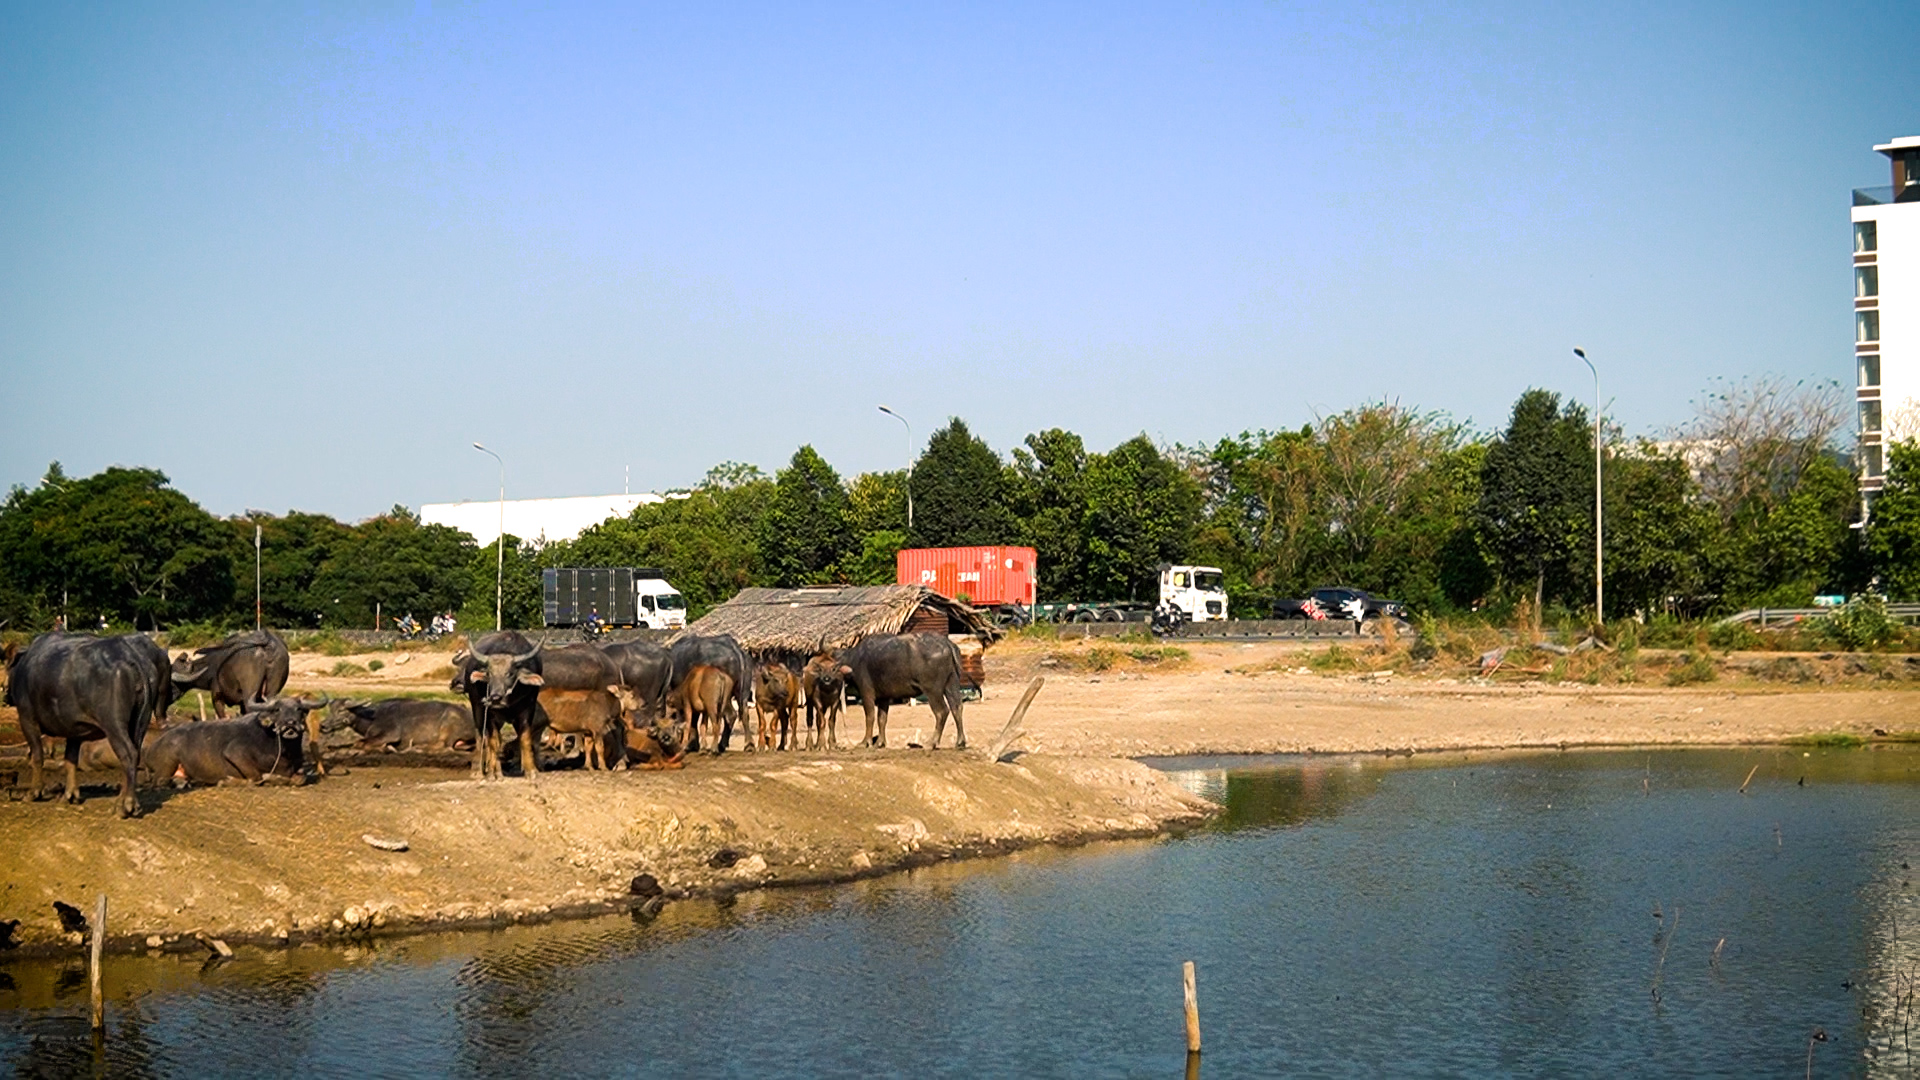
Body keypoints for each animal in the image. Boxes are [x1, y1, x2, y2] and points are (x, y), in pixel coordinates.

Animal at [5, 626, 173, 810]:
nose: (5, 696)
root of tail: (132, 659)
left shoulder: (27, 718)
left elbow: (36, 756)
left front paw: (33, 793)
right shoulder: (74, 729)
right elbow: (70, 759)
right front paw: (70, 795)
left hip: (113, 723)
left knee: (128, 753)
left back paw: (126, 804)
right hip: (141, 721)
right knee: (134, 753)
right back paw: (122, 800)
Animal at [144, 691, 326, 787]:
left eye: (299, 709)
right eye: (277, 710)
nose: (290, 724)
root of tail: (151, 749)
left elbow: (300, 778)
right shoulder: (234, 753)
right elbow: (256, 777)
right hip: (168, 763)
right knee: (159, 781)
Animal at [837, 630, 967, 749]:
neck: (853, 660)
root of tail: (946, 643)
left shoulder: (866, 693)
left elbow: (870, 716)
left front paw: (865, 742)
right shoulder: (884, 697)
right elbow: (882, 718)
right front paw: (880, 743)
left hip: (932, 690)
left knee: (942, 711)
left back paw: (931, 743)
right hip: (952, 682)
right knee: (957, 707)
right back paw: (960, 742)